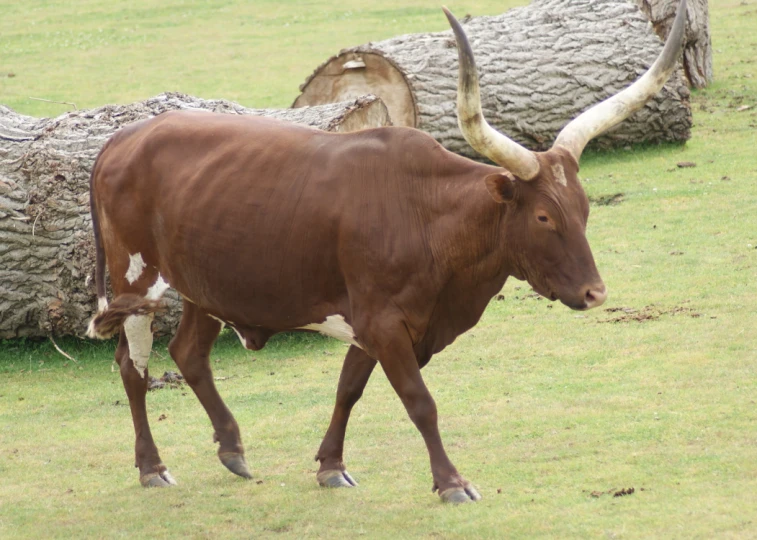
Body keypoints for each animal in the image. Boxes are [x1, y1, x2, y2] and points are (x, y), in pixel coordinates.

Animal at [87, 3, 684, 502]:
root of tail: (123, 139)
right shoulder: (383, 320)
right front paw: (451, 482)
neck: (427, 214)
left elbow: (349, 388)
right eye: (543, 217)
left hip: (202, 284)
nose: (595, 293)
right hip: (136, 280)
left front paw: (331, 466)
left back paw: (232, 448)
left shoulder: (377, 323)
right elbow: (420, 401)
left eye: (583, 208)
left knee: (188, 354)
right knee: (133, 367)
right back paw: (152, 468)